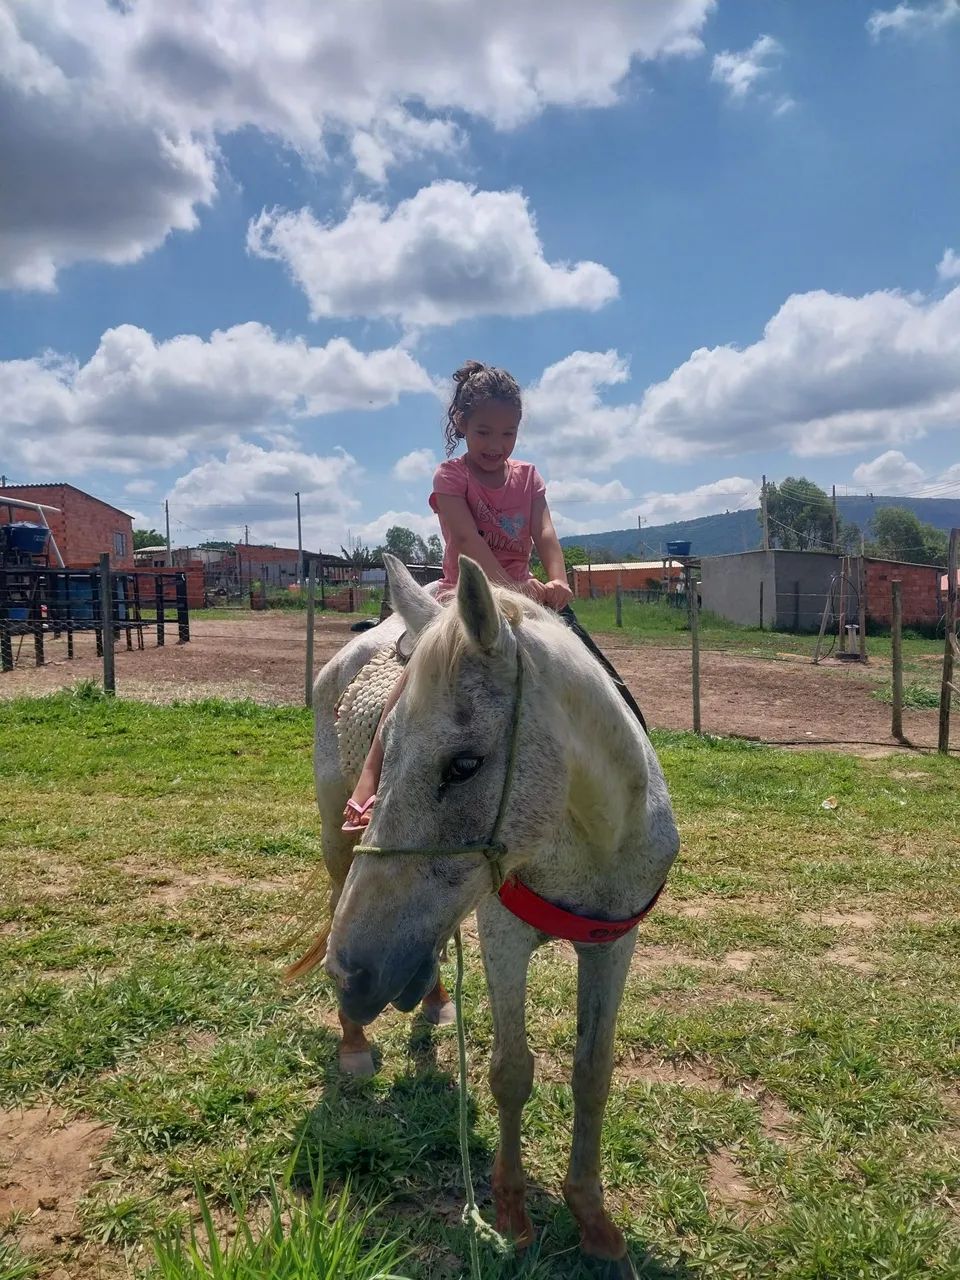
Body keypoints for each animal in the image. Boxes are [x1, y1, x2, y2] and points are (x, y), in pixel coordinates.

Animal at [297, 555, 680, 1276]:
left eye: (465, 763)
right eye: (385, 749)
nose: (354, 972)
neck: (588, 841)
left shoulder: (614, 944)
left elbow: (592, 1072)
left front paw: (595, 1222)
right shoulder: (504, 938)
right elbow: (511, 1072)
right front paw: (511, 1215)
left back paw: (432, 999)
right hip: (339, 842)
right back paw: (355, 1045)